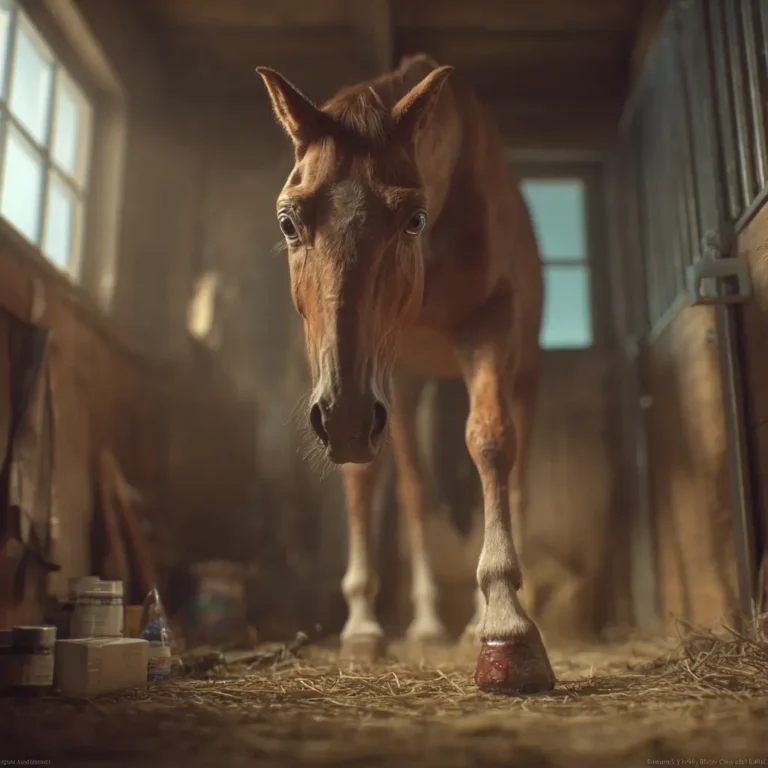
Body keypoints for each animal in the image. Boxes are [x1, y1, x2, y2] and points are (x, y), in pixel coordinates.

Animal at [256, 53, 555, 693]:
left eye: (413, 218)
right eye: (289, 222)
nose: (343, 421)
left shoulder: (487, 330)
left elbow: (489, 442)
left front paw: (506, 624)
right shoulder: (366, 374)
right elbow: (368, 480)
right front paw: (363, 627)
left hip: (523, 373)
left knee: (514, 476)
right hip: (407, 382)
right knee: (415, 491)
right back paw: (425, 623)